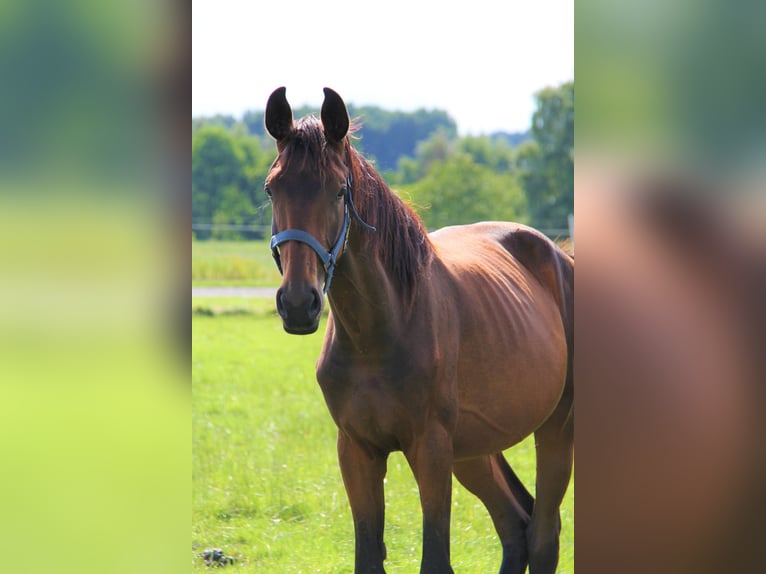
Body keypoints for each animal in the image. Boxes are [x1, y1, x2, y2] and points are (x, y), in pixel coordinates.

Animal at [266, 86, 576, 574]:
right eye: (272, 187)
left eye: (338, 191)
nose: (298, 303)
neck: (379, 333)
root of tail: (560, 257)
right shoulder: (357, 450)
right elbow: (368, 557)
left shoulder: (429, 449)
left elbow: (435, 558)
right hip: (473, 451)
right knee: (516, 526)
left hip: (555, 428)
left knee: (543, 534)